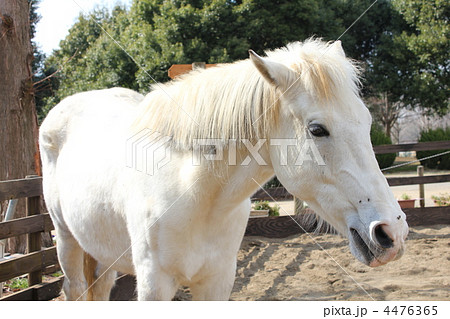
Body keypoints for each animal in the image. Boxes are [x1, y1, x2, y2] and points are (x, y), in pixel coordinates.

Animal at [40, 38, 410, 302]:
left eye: (366, 122)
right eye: (318, 129)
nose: (391, 232)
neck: (193, 194)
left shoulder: (217, 282)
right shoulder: (154, 286)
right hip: (66, 241)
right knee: (75, 289)